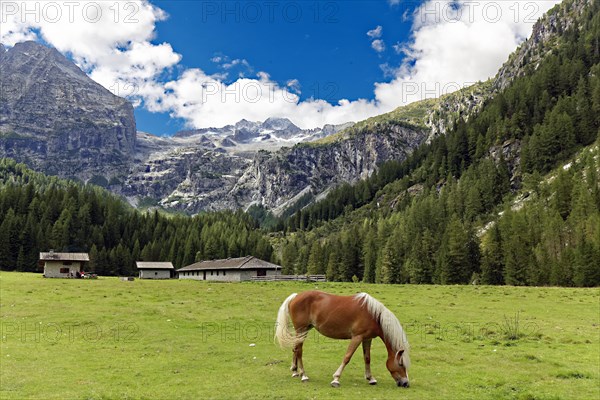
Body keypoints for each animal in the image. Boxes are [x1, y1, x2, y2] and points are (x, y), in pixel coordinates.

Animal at [274, 290, 410, 388]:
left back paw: (295, 371)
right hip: (301, 330)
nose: (405, 383)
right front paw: (336, 379)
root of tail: (296, 296)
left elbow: (367, 358)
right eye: (401, 364)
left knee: (295, 349)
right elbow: (347, 357)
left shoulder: (367, 339)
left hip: (303, 331)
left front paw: (370, 378)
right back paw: (303, 375)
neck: (374, 314)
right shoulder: (357, 337)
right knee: (299, 351)